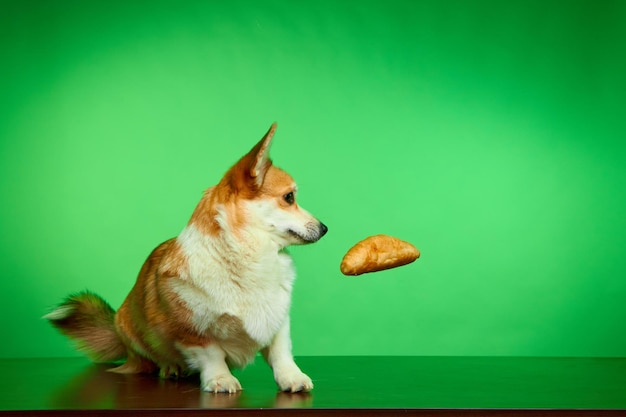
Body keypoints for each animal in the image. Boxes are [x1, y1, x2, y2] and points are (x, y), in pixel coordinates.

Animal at [45, 122, 326, 392]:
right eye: (289, 197)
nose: (325, 228)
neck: (250, 256)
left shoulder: (279, 321)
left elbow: (281, 353)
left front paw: (292, 378)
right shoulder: (191, 332)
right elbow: (212, 355)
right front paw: (221, 379)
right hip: (130, 328)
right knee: (149, 360)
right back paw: (171, 368)